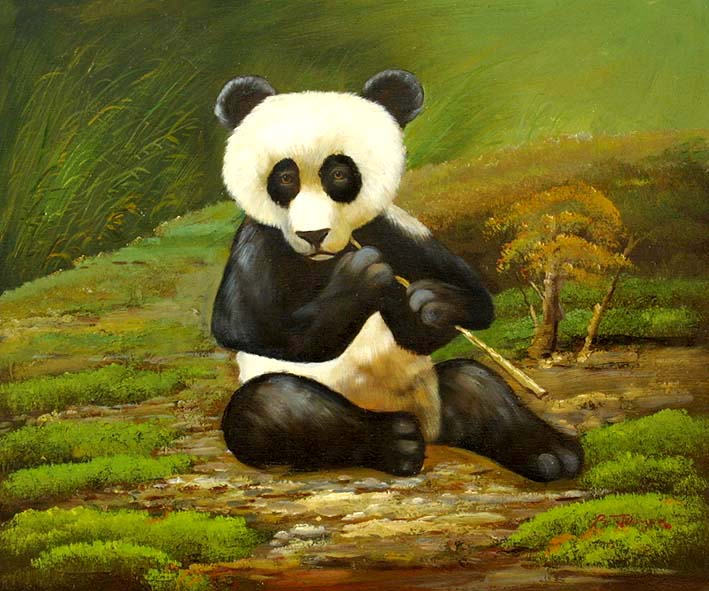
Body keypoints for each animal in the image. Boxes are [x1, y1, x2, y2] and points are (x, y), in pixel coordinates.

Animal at [211, 70, 583, 482]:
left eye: (338, 173)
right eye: (285, 177)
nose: (313, 235)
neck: (327, 258)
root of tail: (429, 429)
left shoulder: (392, 230)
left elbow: (469, 301)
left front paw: (432, 303)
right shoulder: (260, 241)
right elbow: (247, 325)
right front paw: (360, 279)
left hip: (433, 391)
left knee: (477, 386)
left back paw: (552, 454)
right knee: (271, 407)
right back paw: (395, 442)